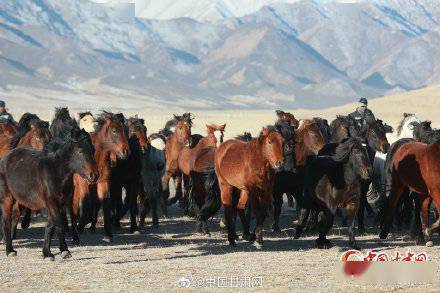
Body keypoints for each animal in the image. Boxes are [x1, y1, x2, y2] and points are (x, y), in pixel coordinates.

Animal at [72, 112, 130, 242]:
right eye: (114, 131)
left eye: (125, 130)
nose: (126, 152)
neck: (95, 157)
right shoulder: (84, 183)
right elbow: (85, 203)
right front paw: (80, 227)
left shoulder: (103, 182)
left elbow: (105, 203)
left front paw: (108, 234)